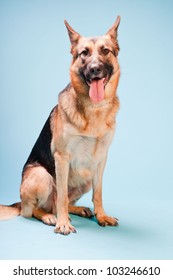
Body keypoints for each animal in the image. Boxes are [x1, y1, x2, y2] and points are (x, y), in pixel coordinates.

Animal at [0, 17, 121, 234]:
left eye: (105, 50)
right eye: (84, 53)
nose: (94, 69)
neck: (94, 109)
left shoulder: (101, 160)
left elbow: (98, 194)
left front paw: (101, 216)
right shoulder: (62, 158)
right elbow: (62, 196)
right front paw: (62, 223)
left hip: (86, 177)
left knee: (58, 203)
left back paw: (78, 210)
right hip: (42, 176)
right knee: (35, 209)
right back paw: (50, 217)